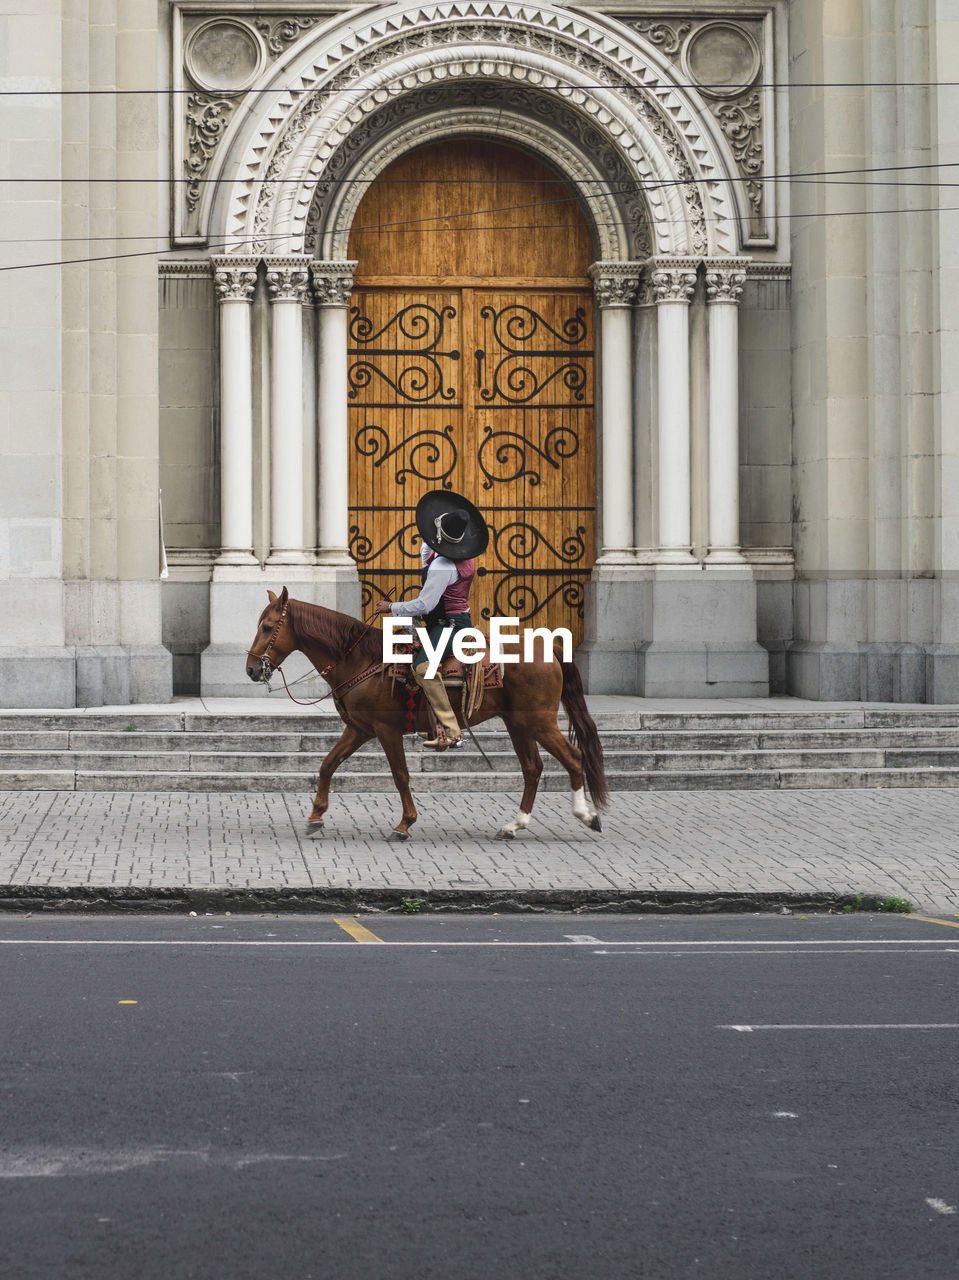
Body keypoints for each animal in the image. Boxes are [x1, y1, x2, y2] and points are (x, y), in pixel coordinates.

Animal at [247, 586, 606, 839]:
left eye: (267, 627)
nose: (251, 669)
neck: (362, 659)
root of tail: (552, 647)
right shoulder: (359, 729)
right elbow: (327, 765)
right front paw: (316, 816)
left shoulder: (386, 729)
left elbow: (400, 775)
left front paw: (404, 824)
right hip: (518, 724)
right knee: (532, 768)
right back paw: (514, 825)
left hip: (539, 722)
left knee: (573, 758)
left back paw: (587, 815)